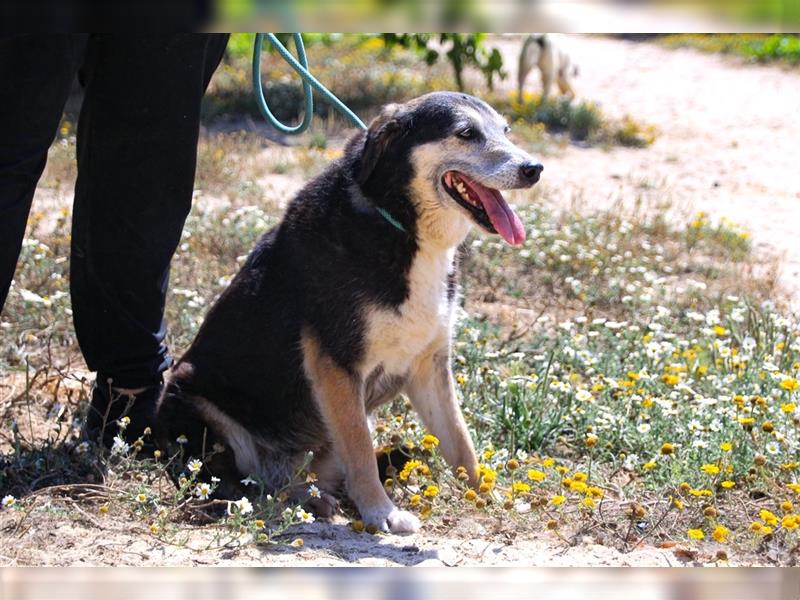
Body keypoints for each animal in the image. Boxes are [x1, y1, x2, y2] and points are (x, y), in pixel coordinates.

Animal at [155, 91, 544, 532]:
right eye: (466, 133)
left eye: (506, 131)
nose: (534, 169)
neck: (400, 225)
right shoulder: (337, 365)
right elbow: (360, 450)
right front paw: (381, 512)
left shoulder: (429, 366)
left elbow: (461, 441)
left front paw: (487, 494)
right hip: (197, 402)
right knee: (246, 483)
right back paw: (308, 500)